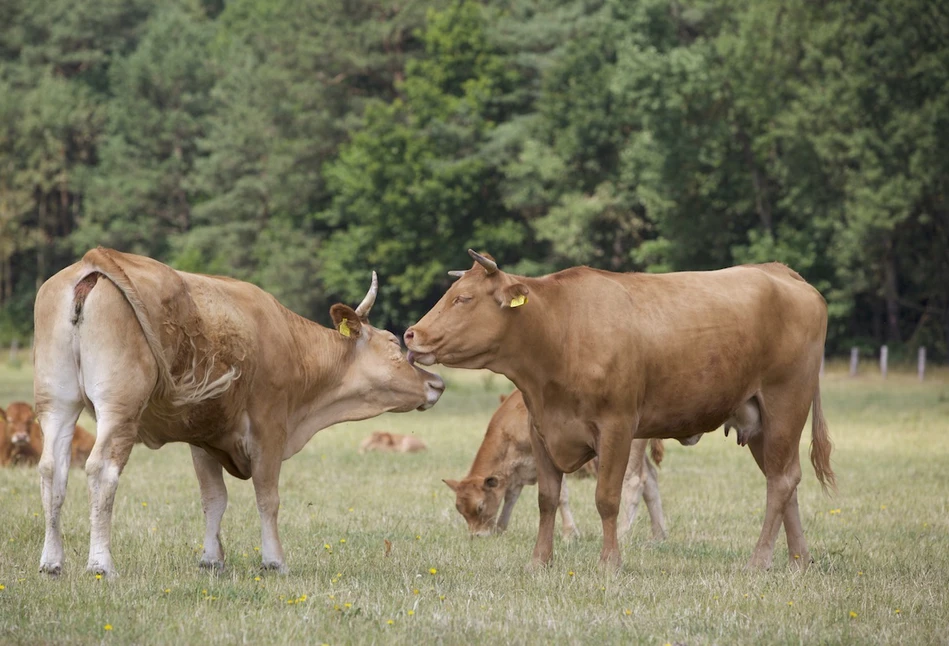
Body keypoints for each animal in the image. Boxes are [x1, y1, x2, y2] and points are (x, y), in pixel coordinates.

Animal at [444, 388, 668, 544]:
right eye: (460, 510)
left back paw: (622, 534)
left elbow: (561, 497)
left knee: (635, 482)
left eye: (480, 506)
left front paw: (570, 534)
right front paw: (500, 529)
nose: (477, 536)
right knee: (651, 480)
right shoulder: (518, 473)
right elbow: (510, 499)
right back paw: (659, 535)